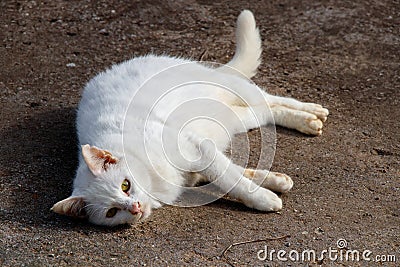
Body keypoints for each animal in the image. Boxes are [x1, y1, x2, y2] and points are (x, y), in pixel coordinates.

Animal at [51, 11, 330, 228]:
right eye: (111, 212)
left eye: (125, 185)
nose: (135, 207)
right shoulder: (202, 156)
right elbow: (236, 172)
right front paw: (274, 181)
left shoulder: (197, 149)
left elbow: (232, 180)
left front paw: (262, 198)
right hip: (230, 118)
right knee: (263, 111)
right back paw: (307, 120)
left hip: (233, 88)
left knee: (270, 98)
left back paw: (311, 112)